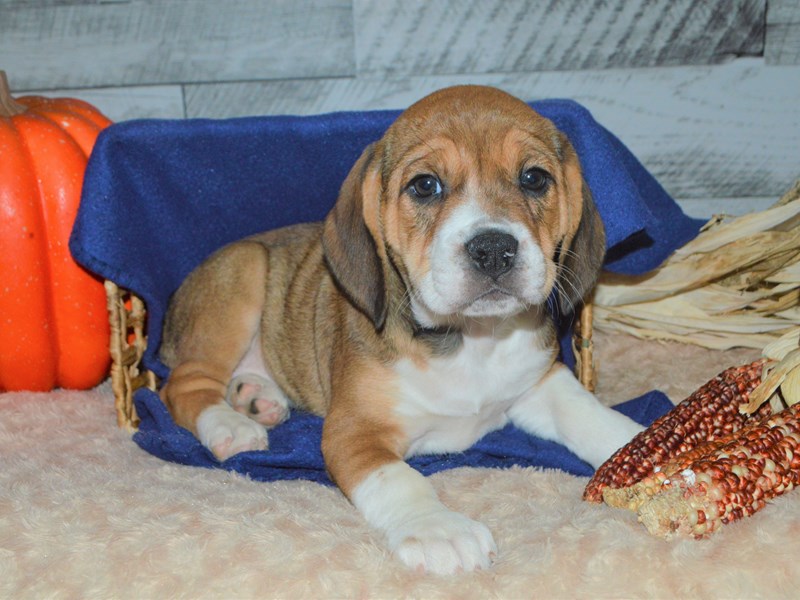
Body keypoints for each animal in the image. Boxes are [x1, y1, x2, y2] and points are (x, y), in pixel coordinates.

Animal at [161, 85, 644, 576]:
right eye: (425, 185)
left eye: (534, 178)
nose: (493, 249)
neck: (472, 340)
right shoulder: (354, 430)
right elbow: (400, 480)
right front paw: (438, 529)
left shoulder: (541, 382)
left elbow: (588, 414)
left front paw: (646, 446)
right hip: (242, 275)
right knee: (183, 386)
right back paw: (230, 424)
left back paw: (257, 398)